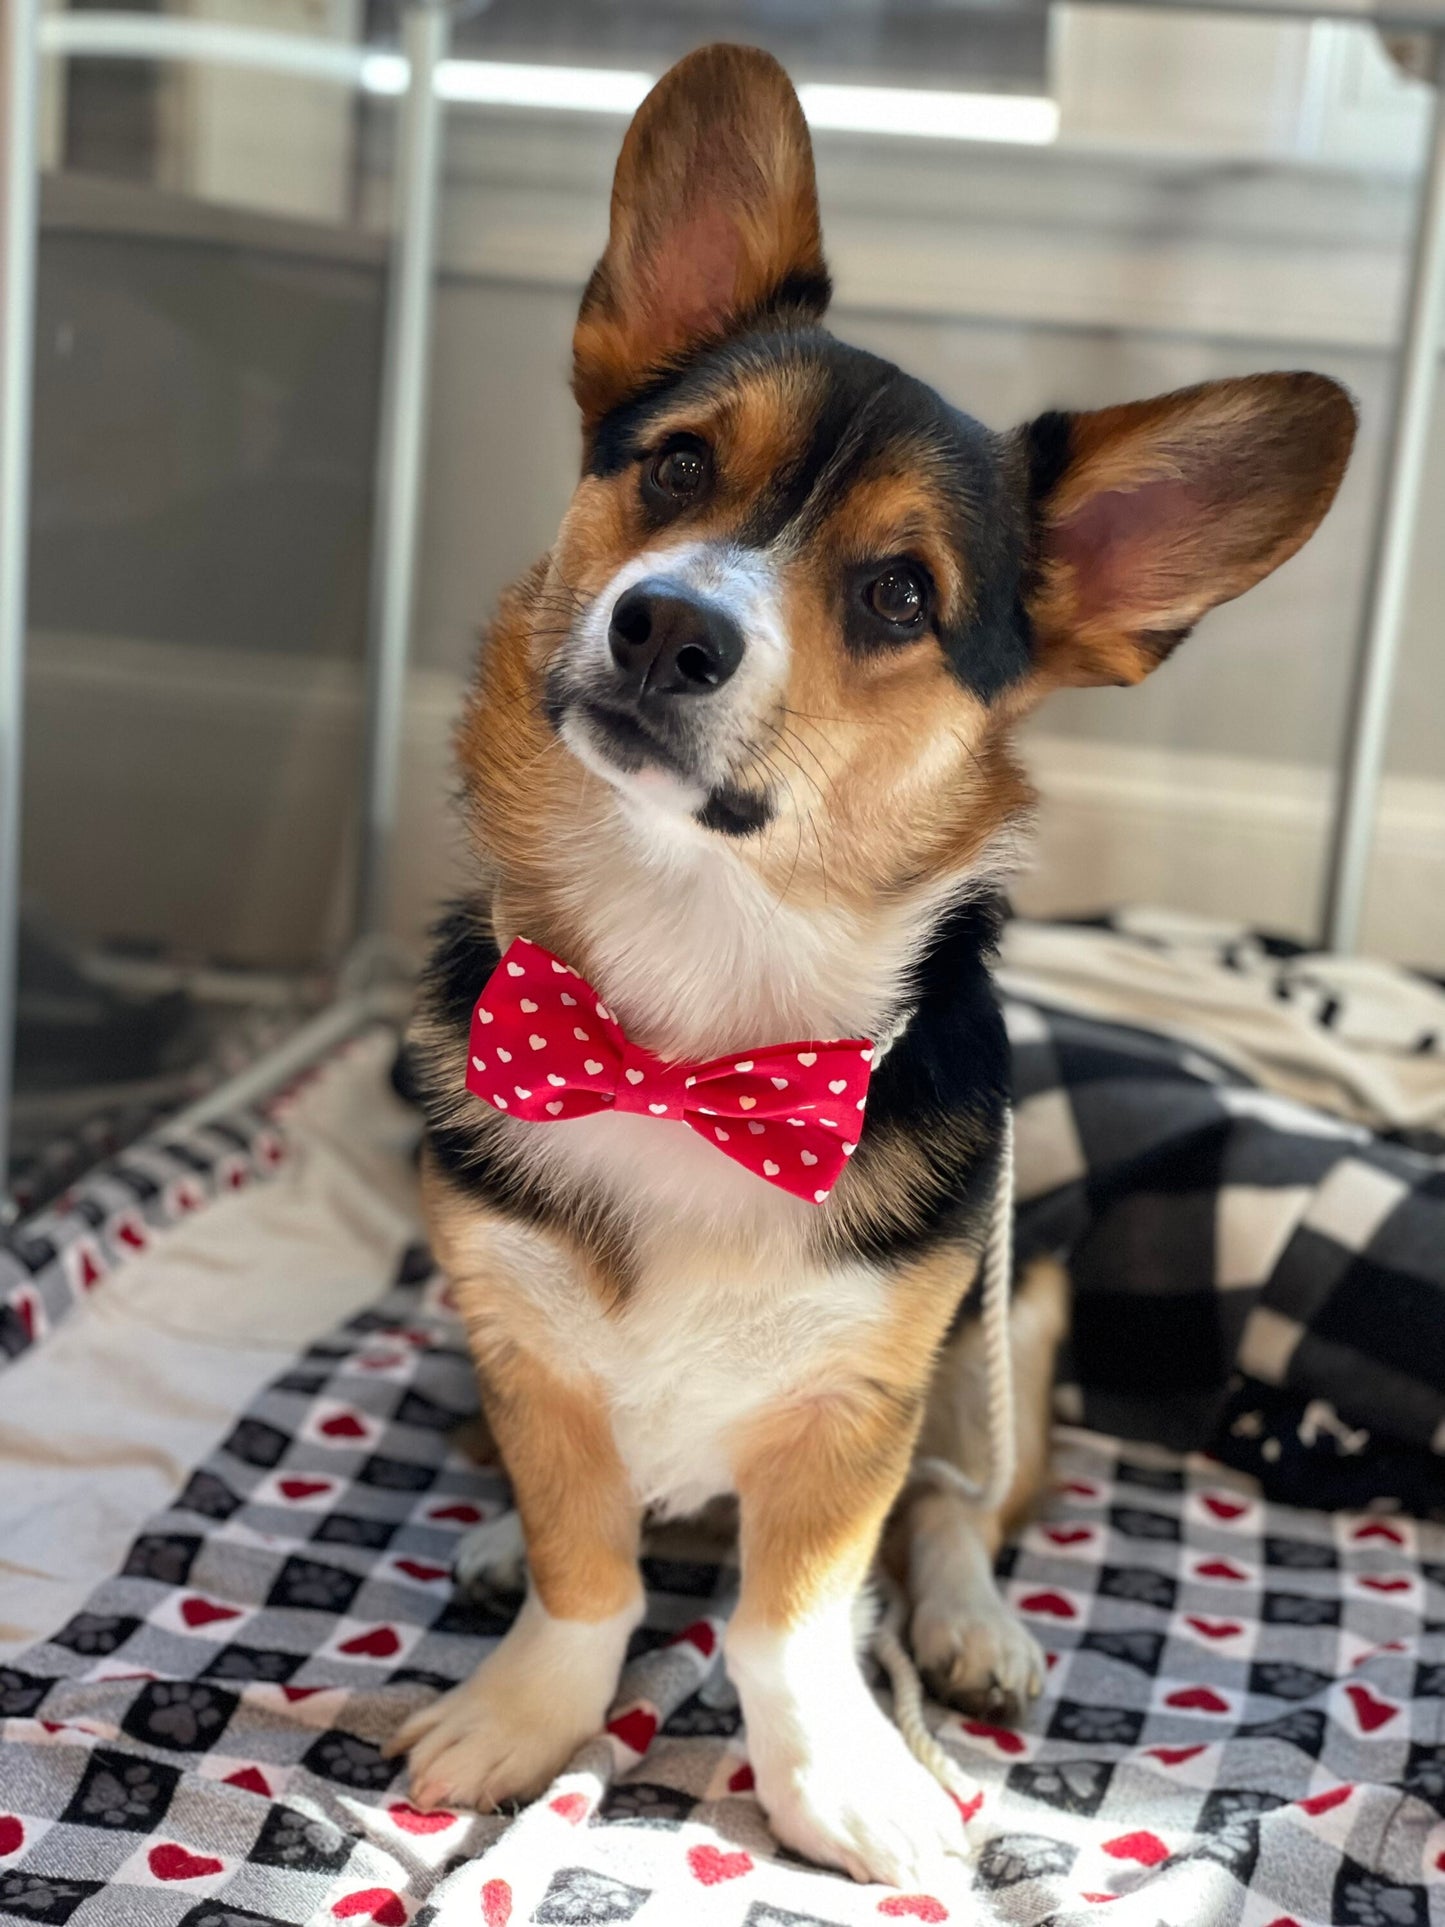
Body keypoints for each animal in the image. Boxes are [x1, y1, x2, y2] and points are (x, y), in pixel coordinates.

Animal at [393, 45, 1356, 1896]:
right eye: (675, 468)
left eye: (902, 591)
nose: (664, 625)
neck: (697, 1013)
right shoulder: (520, 1334)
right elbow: (587, 1568)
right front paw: (523, 1713)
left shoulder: (862, 1399)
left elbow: (795, 1617)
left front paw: (836, 1783)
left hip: (1012, 1309)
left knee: (961, 1508)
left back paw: (972, 1628)